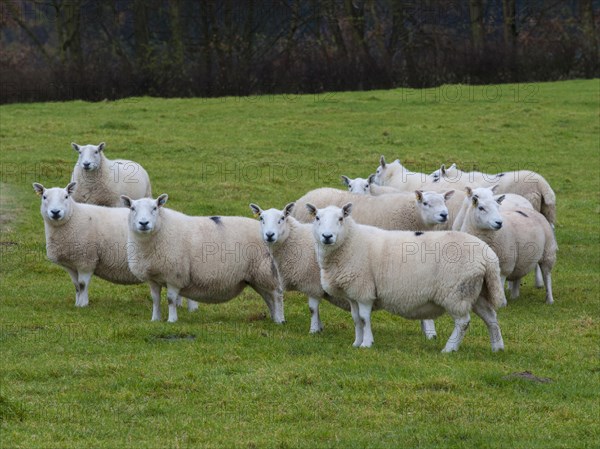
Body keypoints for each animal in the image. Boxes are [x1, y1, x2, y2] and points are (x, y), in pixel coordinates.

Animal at [122, 192, 286, 322]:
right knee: (268, 297)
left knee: (277, 294)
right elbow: (155, 299)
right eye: (132, 208)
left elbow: (171, 300)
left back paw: (280, 320)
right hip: (255, 276)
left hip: (265, 270)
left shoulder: (175, 275)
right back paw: (274, 317)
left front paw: (172, 320)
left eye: (155, 208)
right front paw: (155, 320)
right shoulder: (153, 277)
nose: (144, 223)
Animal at [304, 204, 506, 354]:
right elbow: (356, 319)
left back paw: (449, 349)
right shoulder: (353, 293)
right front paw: (356, 342)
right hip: (476, 291)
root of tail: (488, 256)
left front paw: (366, 343)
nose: (327, 236)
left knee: (463, 322)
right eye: (317, 218)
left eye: (340, 218)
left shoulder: (364, 290)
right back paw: (497, 348)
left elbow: (364, 318)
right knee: (491, 318)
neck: (350, 242)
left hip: (456, 291)